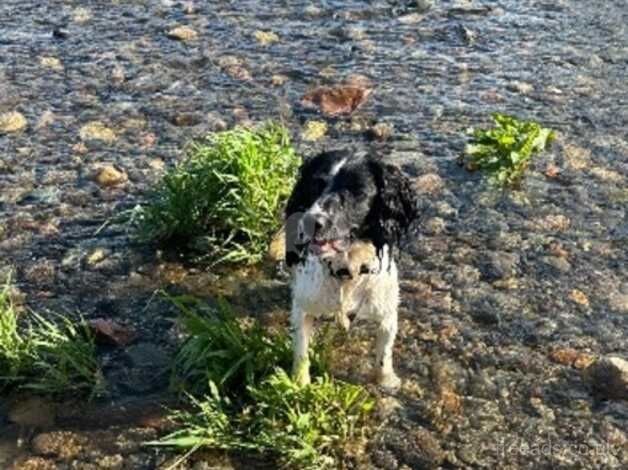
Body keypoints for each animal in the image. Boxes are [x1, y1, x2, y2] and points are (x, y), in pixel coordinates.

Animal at [284, 151, 418, 390]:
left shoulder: (387, 311)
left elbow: (384, 351)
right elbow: (301, 352)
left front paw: (386, 380)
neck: (347, 271)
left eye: (356, 191)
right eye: (316, 184)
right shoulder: (303, 308)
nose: (310, 221)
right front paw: (300, 384)